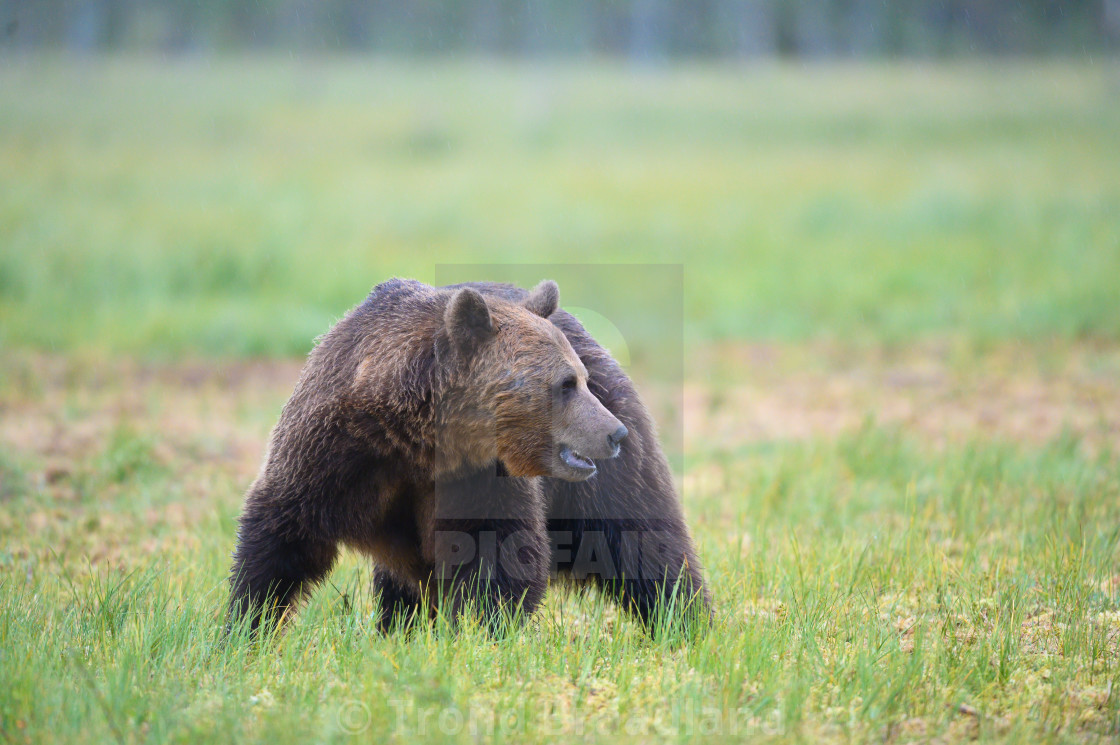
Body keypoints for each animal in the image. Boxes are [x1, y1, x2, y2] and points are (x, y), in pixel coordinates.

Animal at [227, 277, 707, 631]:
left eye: (580, 379)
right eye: (565, 383)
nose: (613, 432)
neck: (413, 438)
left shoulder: (480, 478)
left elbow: (498, 554)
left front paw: (479, 633)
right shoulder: (333, 454)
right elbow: (283, 535)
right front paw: (246, 628)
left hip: (608, 476)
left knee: (644, 540)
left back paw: (686, 624)